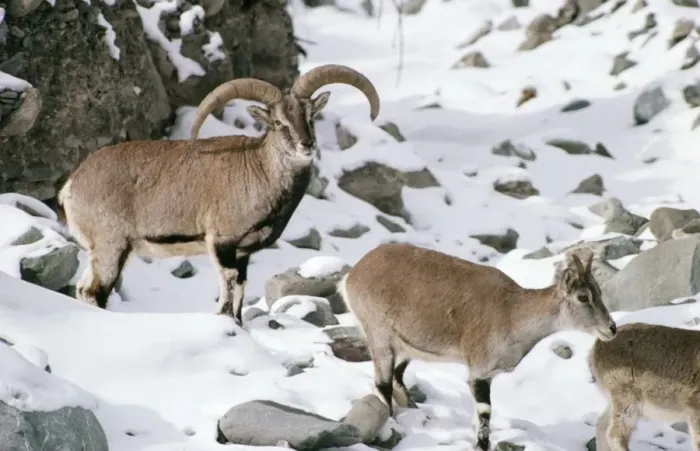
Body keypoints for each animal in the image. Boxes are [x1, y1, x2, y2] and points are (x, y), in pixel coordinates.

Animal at [58, 64, 380, 324]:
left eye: (310, 115)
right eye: (278, 122)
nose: (307, 145)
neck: (259, 170)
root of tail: (72, 185)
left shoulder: (243, 252)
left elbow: (241, 287)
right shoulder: (221, 241)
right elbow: (228, 282)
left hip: (101, 250)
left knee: (83, 289)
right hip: (111, 246)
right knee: (96, 291)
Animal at [337, 242, 617, 451]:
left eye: (600, 293)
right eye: (583, 297)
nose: (611, 328)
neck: (512, 312)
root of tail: (353, 274)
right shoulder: (479, 371)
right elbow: (484, 413)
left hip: (405, 345)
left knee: (397, 376)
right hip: (379, 334)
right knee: (383, 382)